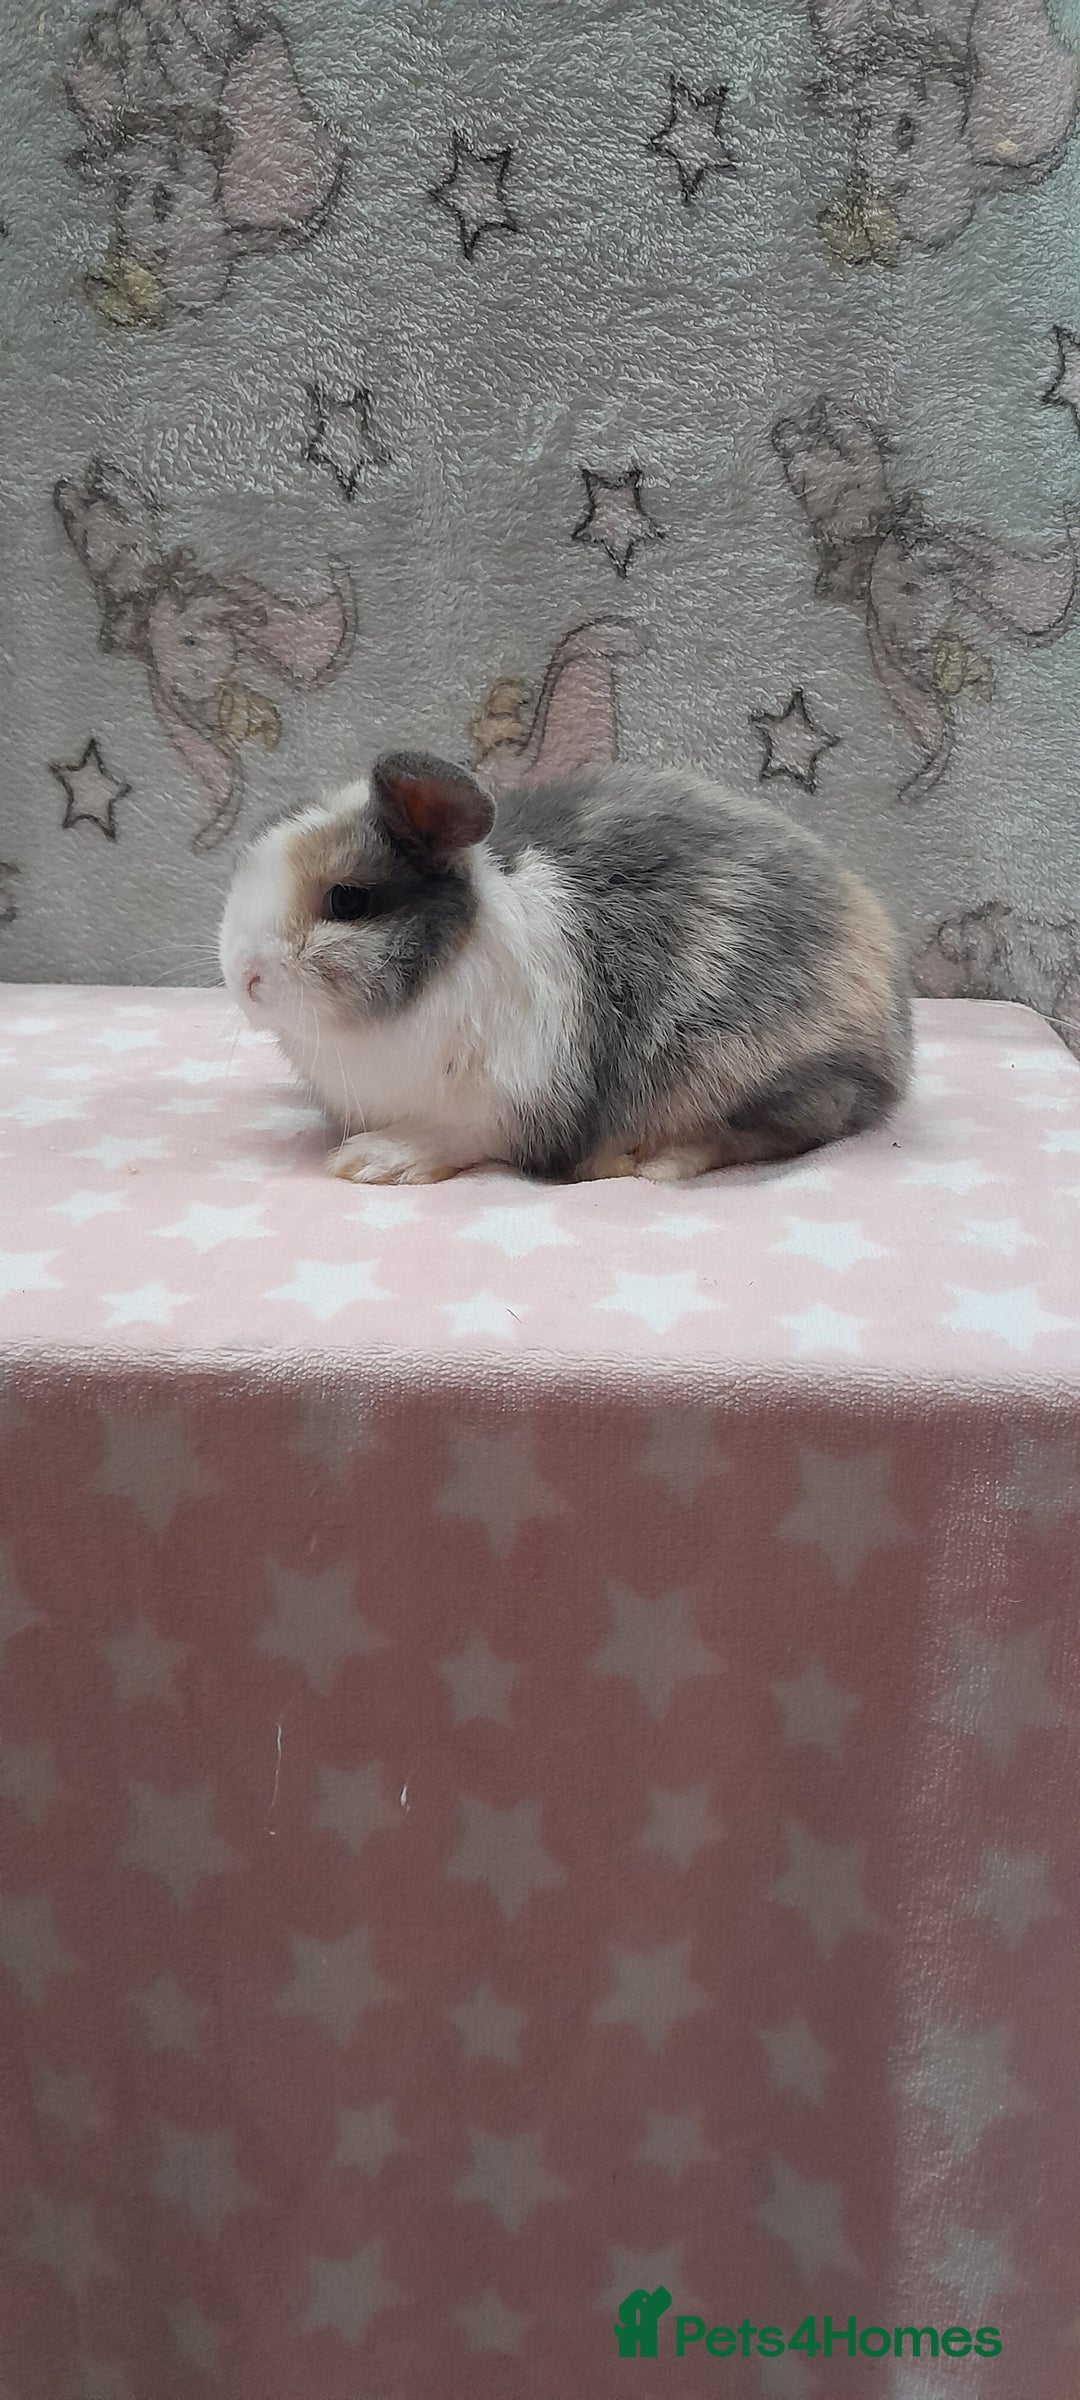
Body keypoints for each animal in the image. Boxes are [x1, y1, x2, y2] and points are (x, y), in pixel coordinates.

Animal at [219, 751, 912, 1184]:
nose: (243, 978)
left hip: (741, 1070)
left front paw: (372, 1161)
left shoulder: (503, 1101)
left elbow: (451, 1135)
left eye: (347, 901)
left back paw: (650, 1162)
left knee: (777, 1130)